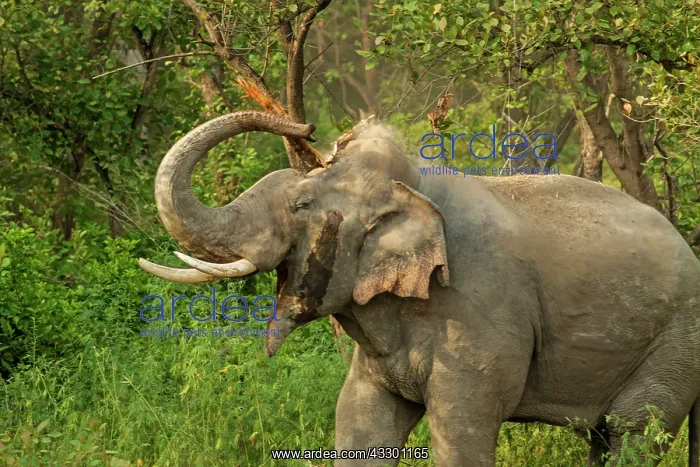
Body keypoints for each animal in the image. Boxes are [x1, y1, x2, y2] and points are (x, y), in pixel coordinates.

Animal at [139, 110, 700, 466]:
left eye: (301, 206)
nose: (308, 126)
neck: (413, 188)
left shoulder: (480, 314)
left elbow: (462, 431)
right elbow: (360, 421)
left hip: (674, 347)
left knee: (633, 434)